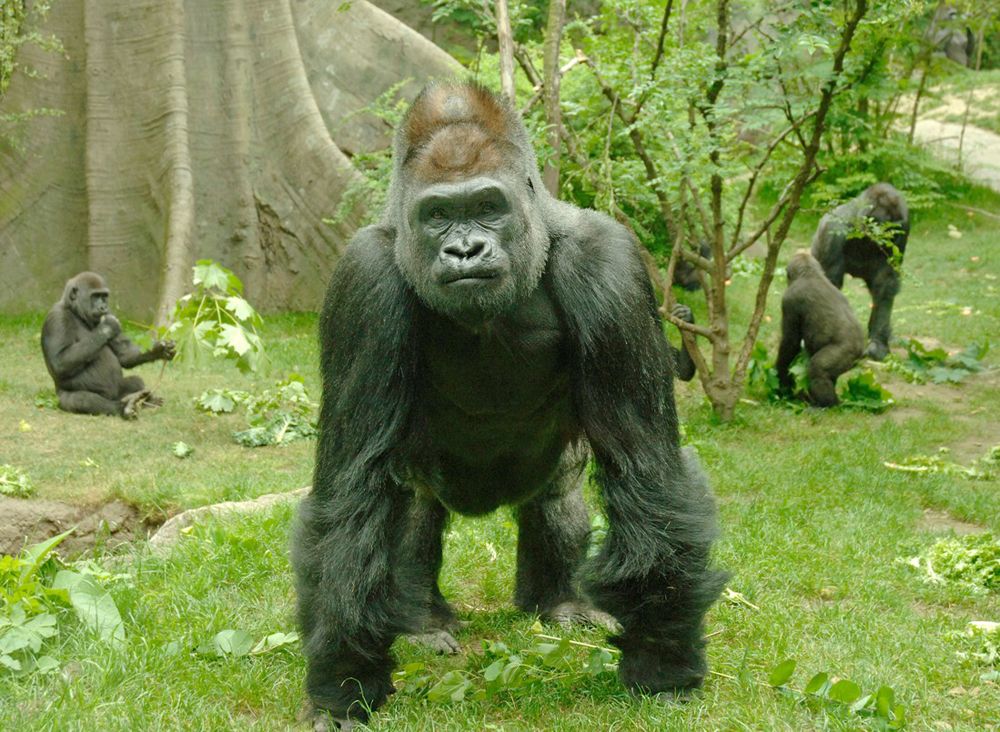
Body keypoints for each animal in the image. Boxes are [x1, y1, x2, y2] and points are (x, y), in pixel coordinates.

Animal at [41, 270, 176, 420]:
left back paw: (145, 400)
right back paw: (124, 408)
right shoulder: (57, 317)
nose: (103, 307)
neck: (75, 311)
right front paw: (107, 328)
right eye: (95, 296)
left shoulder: (109, 312)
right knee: (83, 400)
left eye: (104, 296)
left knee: (135, 381)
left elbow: (125, 354)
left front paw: (160, 350)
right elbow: (60, 362)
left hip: (120, 393)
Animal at [290, 81, 728, 728]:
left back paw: (560, 602)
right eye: (437, 215)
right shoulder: (362, 280)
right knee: (411, 511)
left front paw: (661, 659)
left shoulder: (609, 264)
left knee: (559, 499)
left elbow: (644, 468)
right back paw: (422, 622)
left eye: (487, 205)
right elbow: (353, 490)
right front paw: (342, 682)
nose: (465, 249)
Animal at [772, 249, 868, 404]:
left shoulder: (789, 300)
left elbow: (790, 343)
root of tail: (861, 352)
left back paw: (824, 404)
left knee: (817, 369)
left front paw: (781, 379)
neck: (810, 273)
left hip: (845, 353)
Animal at [808, 183, 912, 360]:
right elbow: (829, 285)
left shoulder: (905, 226)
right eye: (886, 227)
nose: (892, 239)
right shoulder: (832, 231)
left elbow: (885, 286)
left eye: (896, 230)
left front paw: (878, 343)